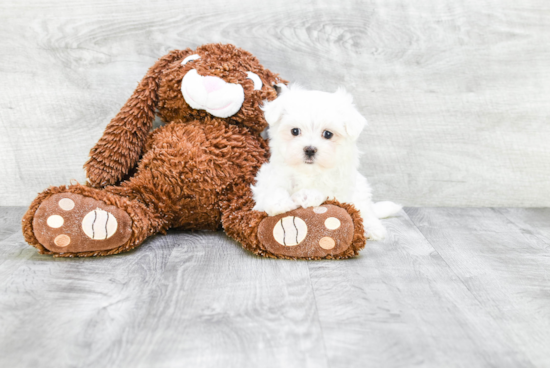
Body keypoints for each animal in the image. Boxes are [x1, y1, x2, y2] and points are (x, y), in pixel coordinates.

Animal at [252, 86, 404, 242]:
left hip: (361, 191)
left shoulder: (341, 189)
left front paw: (307, 195)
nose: (310, 149)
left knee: (366, 211)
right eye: (295, 131)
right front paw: (278, 203)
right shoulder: (270, 175)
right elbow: (273, 188)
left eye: (328, 134)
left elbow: (327, 192)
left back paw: (372, 228)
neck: (309, 172)